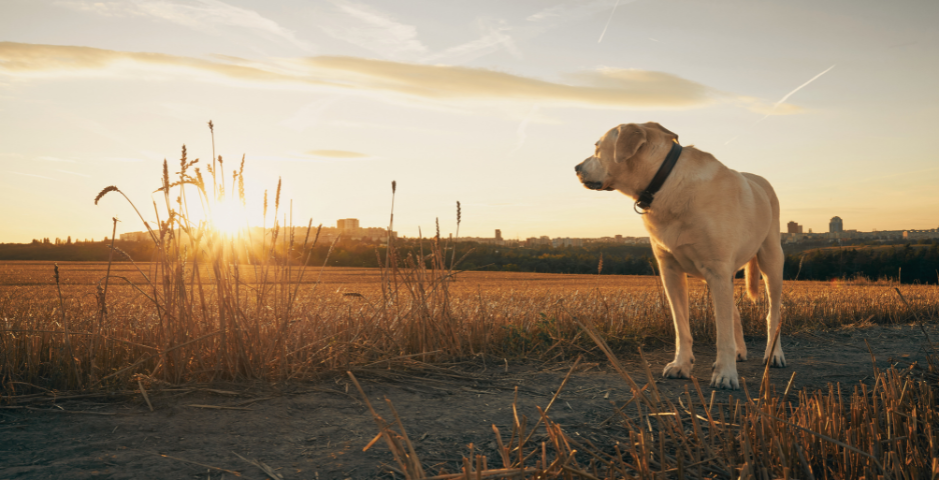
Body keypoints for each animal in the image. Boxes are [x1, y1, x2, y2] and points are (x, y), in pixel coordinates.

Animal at [572, 122, 784, 388]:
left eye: (598, 147)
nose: (576, 168)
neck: (666, 183)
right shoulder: (671, 271)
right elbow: (681, 326)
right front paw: (681, 365)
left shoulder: (717, 270)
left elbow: (723, 332)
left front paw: (725, 374)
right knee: (734, 311)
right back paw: (740, 351)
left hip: (771, 261)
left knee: (773, 313)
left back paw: (773, 355)